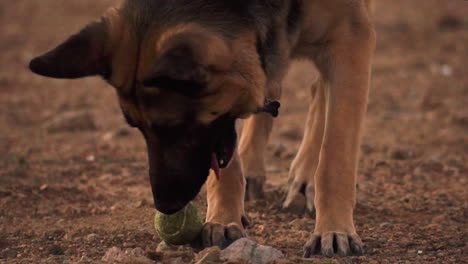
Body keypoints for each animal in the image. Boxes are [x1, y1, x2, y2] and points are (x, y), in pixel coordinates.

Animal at [29, 0, 374, 256]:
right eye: (136, 127)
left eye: (175, 127)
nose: (166, 205)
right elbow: (226, 162)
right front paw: (222, 218)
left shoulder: (351, 39)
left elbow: (336, 155)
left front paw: (333, 229)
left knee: (318, 92)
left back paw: (305, 179)